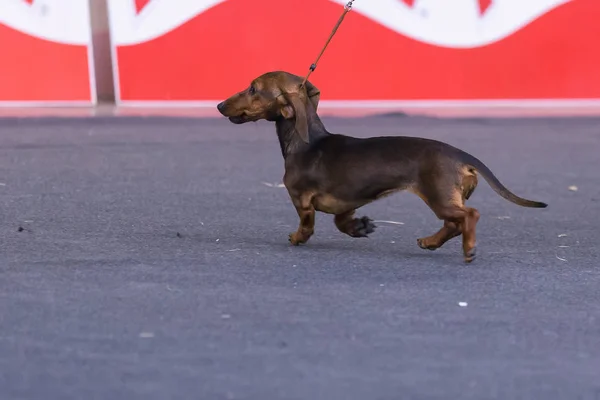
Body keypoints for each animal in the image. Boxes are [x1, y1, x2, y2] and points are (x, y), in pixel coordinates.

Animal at [217, 71, 548, 262]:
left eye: (252, 88)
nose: (220, 105)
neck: (306, 142)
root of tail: (460, 155)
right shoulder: (347, 201)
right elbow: (342, 222)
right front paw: (361, 227)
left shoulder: (301, 200)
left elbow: (307, 224)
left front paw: (298, 238)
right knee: (453, 224)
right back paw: (430, 242)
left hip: (439, 196)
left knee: (469, 216)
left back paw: (468, 249)